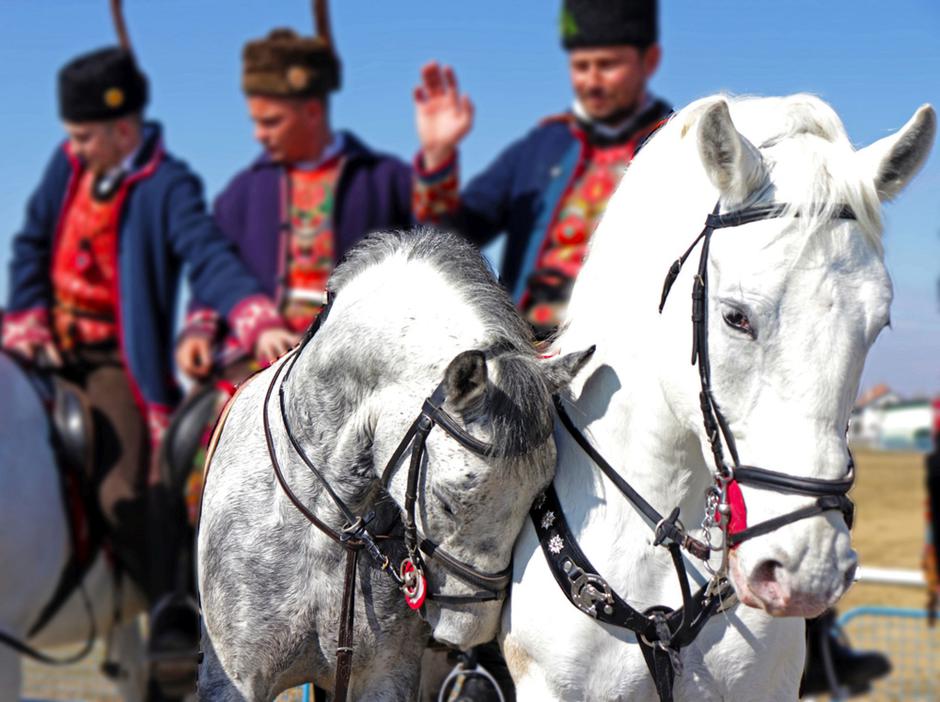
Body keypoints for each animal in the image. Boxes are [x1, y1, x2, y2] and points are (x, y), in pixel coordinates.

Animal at [196, 230, 596, 700]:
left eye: (536, 500)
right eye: (444, 503)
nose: (470, 631)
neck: (334, 530)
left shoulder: (387, 675)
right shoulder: (234, 680)